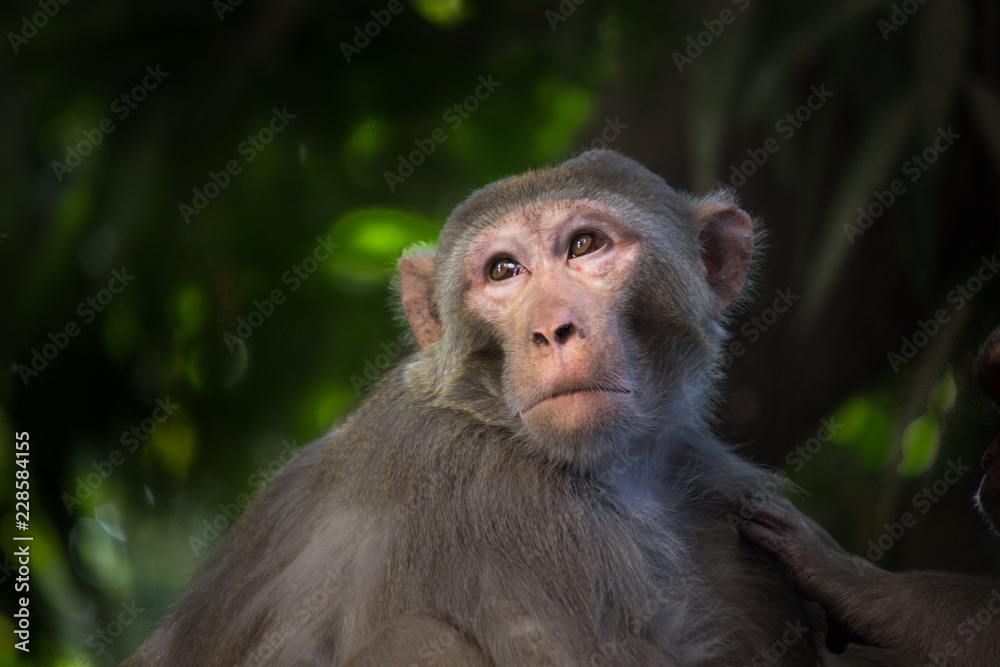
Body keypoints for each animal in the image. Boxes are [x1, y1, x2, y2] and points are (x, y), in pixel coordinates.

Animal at [126, 149, 822, 666]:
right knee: (418, 637)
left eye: (585, 245)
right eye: (504, 270)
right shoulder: (492, 499)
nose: (552, 329)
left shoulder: (720, 498)